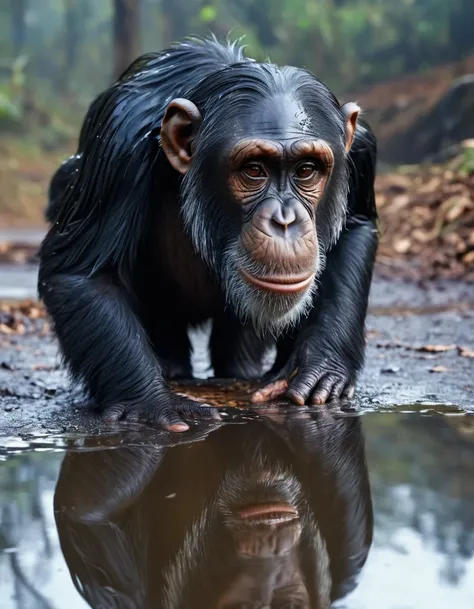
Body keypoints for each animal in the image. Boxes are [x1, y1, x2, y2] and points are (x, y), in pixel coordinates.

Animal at [41, 36, 382, 432]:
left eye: (307, 170)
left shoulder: (359, 149)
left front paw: (319, 367)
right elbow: (84, 273)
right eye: (254, 170)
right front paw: (153, 402)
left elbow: (355, 227)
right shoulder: (118, 143)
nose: (284, 220)